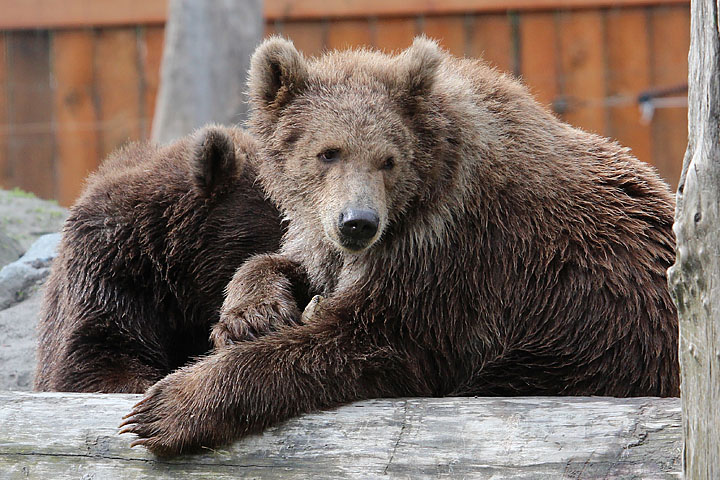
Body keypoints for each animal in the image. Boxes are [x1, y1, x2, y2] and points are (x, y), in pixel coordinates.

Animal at [121, 36, 676, 454]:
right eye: (328, 152)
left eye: (388, 159)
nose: (357, 223)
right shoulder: (331, 238)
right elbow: (286, 262)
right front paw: (251, 314)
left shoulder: (456, 262)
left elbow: (370, 341)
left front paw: (164, 409)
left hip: (589, 347)